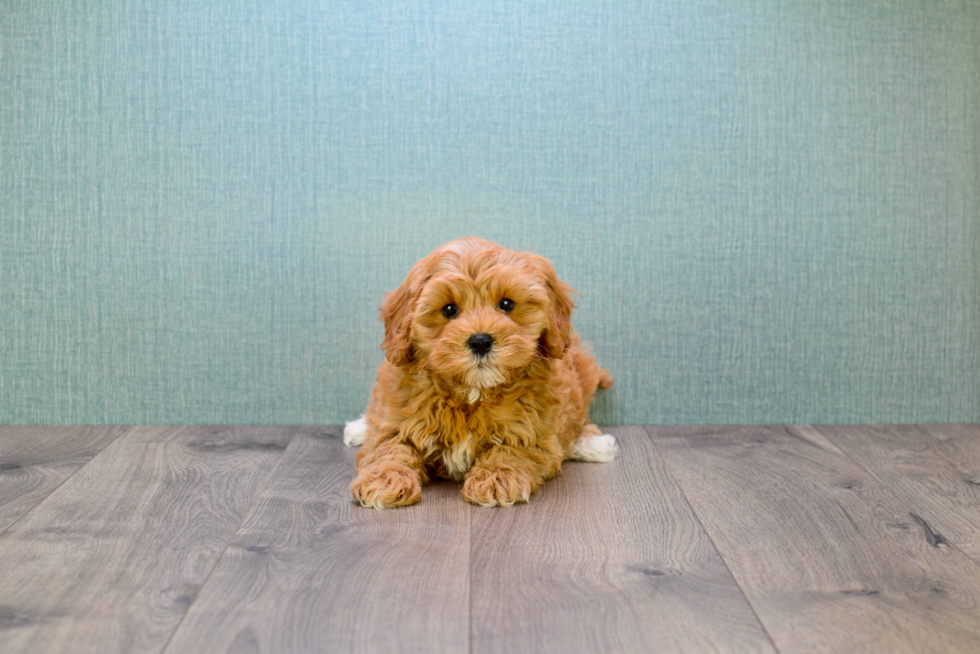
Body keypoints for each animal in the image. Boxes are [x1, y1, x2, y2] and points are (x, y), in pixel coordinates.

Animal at [344, 238, 612, 510]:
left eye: (506, 304)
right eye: (449, 309)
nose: (481, 341)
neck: (472, 391)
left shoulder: (536, 432)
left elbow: (513, 449)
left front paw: (496, 478)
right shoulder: (400, 417)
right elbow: (388, 446)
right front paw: (384, 479)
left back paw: (592, 444)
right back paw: (358, 428)